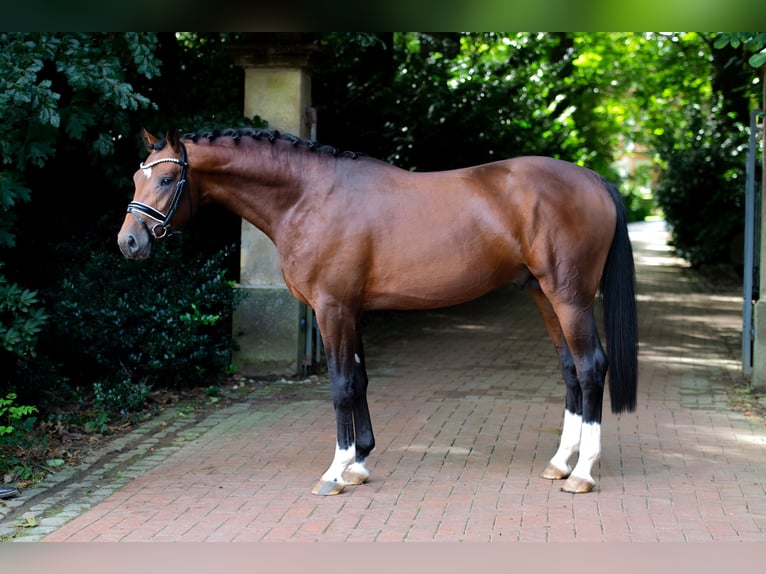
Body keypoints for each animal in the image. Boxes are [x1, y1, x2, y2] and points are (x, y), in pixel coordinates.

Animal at [117, 128, 640, 498]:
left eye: (166, 178)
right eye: (137, 178)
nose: (129, 242)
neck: (308, 196)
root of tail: (594, 179)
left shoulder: (332, 309)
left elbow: (340, 386)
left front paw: (336, 471)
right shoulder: (352, 310)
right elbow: (360, 381)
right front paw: (361, 464)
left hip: (569, 297)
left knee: (591, 367)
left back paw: (584, 474)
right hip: (544, 296)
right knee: (570, 370)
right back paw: (560, 464)